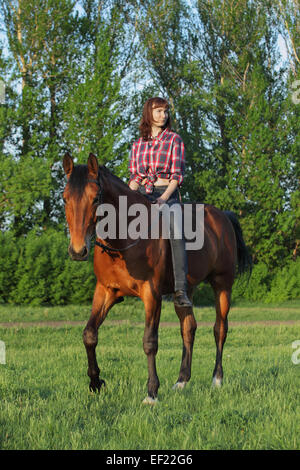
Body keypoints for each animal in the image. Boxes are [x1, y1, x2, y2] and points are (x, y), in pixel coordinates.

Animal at [62, 152, 251, 402]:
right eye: (65, 198)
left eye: (95, 198)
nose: (77, 250)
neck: (125, 238)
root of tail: (223, 217)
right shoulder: (106, 291)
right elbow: (89, 334)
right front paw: (95, 382)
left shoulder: (152, 294)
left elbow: (149, 341)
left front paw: (151, 392)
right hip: (186, 291)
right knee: (188, 328)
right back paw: (181, 381)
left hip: (222, 284)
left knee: (220, 329)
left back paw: (217, 379)